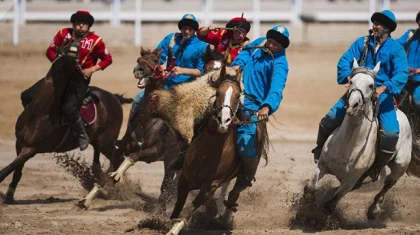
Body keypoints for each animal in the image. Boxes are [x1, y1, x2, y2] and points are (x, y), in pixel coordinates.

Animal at [0, 51, 131, 204]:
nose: (83, 74)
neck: (41, 111)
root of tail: (115, 98)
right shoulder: (19, 143)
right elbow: (16, 171)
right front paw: (9, 196)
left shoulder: (31, 149)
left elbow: (8, 168)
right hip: (98, 142)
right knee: (97, 164)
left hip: (107, 143)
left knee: (118, 159)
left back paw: (106, 186)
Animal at [167, 65, 270, 234]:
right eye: (217, 93)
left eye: (237, 96)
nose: (224, 120)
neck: (206, 153)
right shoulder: (184, 178)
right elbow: (178, 206)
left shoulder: (210, 186)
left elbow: (189, 209)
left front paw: (173, 230)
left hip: (242, 178)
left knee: (233, 196)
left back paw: (225, 221)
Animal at [304, 59, 412, 220]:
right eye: (351, 81)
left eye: (371, 85)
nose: (352, 105)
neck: (348, 144)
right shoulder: (322, 165)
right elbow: (310, 189)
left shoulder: (350, 181)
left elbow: (330, 205)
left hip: (399, 165)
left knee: (387, 184)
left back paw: (374, 210)